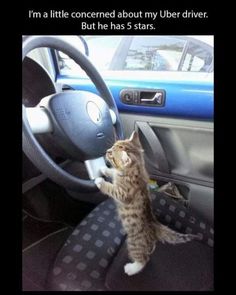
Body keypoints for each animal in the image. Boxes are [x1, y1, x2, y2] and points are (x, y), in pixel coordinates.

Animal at [95, 131, 198, 276]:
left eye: (111, 154)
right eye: (112, 146)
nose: (107, 151)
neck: (135, 169)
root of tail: (155, 226)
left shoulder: (123, 194)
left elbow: (111, 188)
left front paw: (100, 181)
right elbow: (113, 172)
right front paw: (103, 169)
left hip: (133, 243)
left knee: (143, 259)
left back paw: (132, 268)